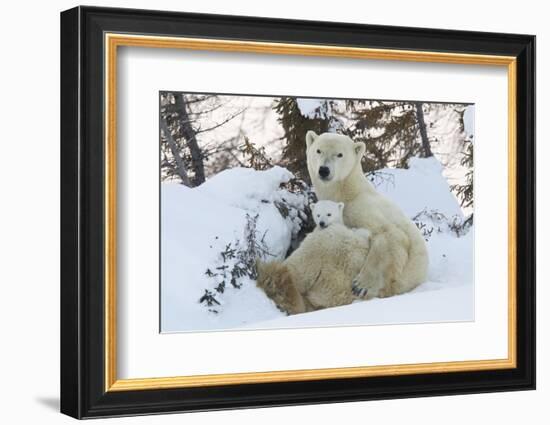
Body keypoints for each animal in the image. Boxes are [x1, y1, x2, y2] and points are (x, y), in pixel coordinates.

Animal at [306, 130, 432, 298]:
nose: (324, 170)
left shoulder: (361, 207)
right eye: (318, 150)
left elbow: (390, 234)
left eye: (339, 154)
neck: (348, 192)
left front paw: (361, 285)